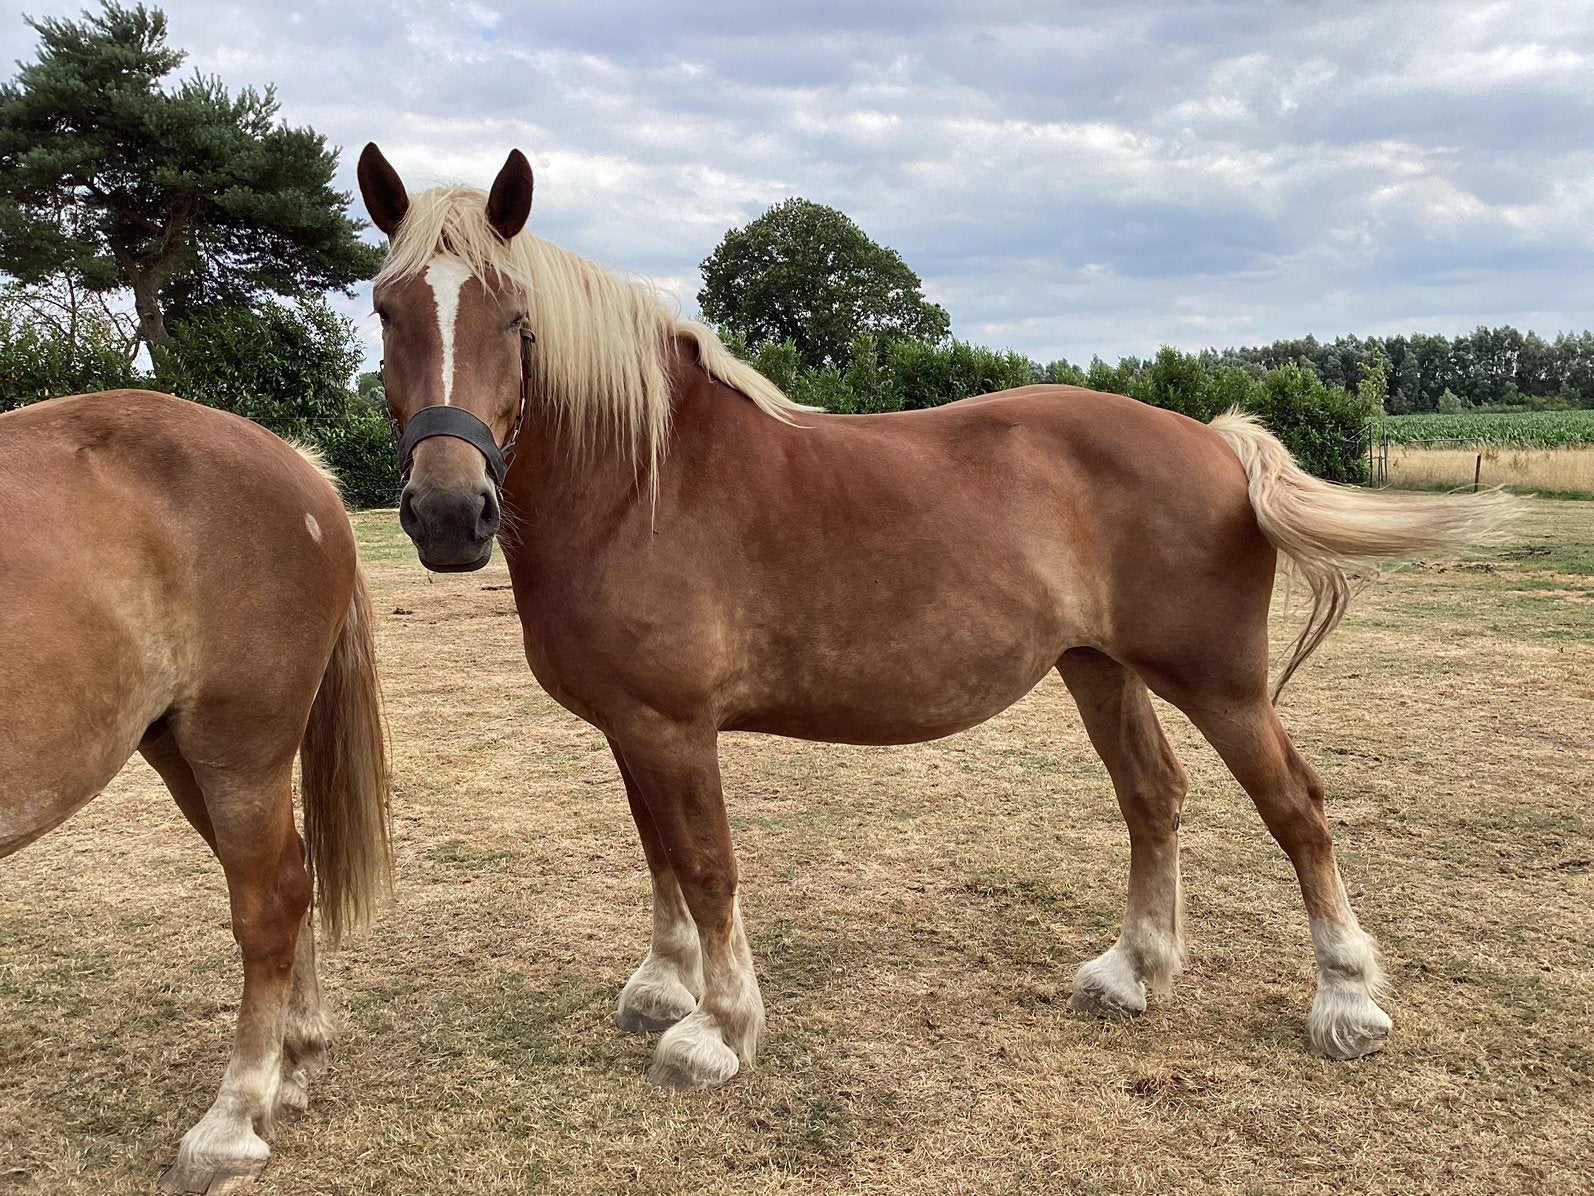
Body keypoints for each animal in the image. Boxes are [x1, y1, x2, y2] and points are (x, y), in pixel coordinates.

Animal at [0, 391, 392, 1192]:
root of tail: (300, 464)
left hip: (237, 750)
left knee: (271, 902)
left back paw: (231, 1123)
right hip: (179, 751)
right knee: (295, 876)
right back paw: (292, 1069)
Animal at [357, 143, 1518, 1092]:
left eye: (514, 318)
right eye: (386, 309)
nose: (450, 513)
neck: (642, 480)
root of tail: (1213, 439)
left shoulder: (673, 728)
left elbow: (708, 863)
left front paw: (716, 1030)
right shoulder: (632, 729)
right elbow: (659, 856)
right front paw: (661, 986)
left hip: (1219, 680)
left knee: (1297, 807)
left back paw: (1346, 1004)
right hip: (1099, 665)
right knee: (1153, 796)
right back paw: (1131, 973)